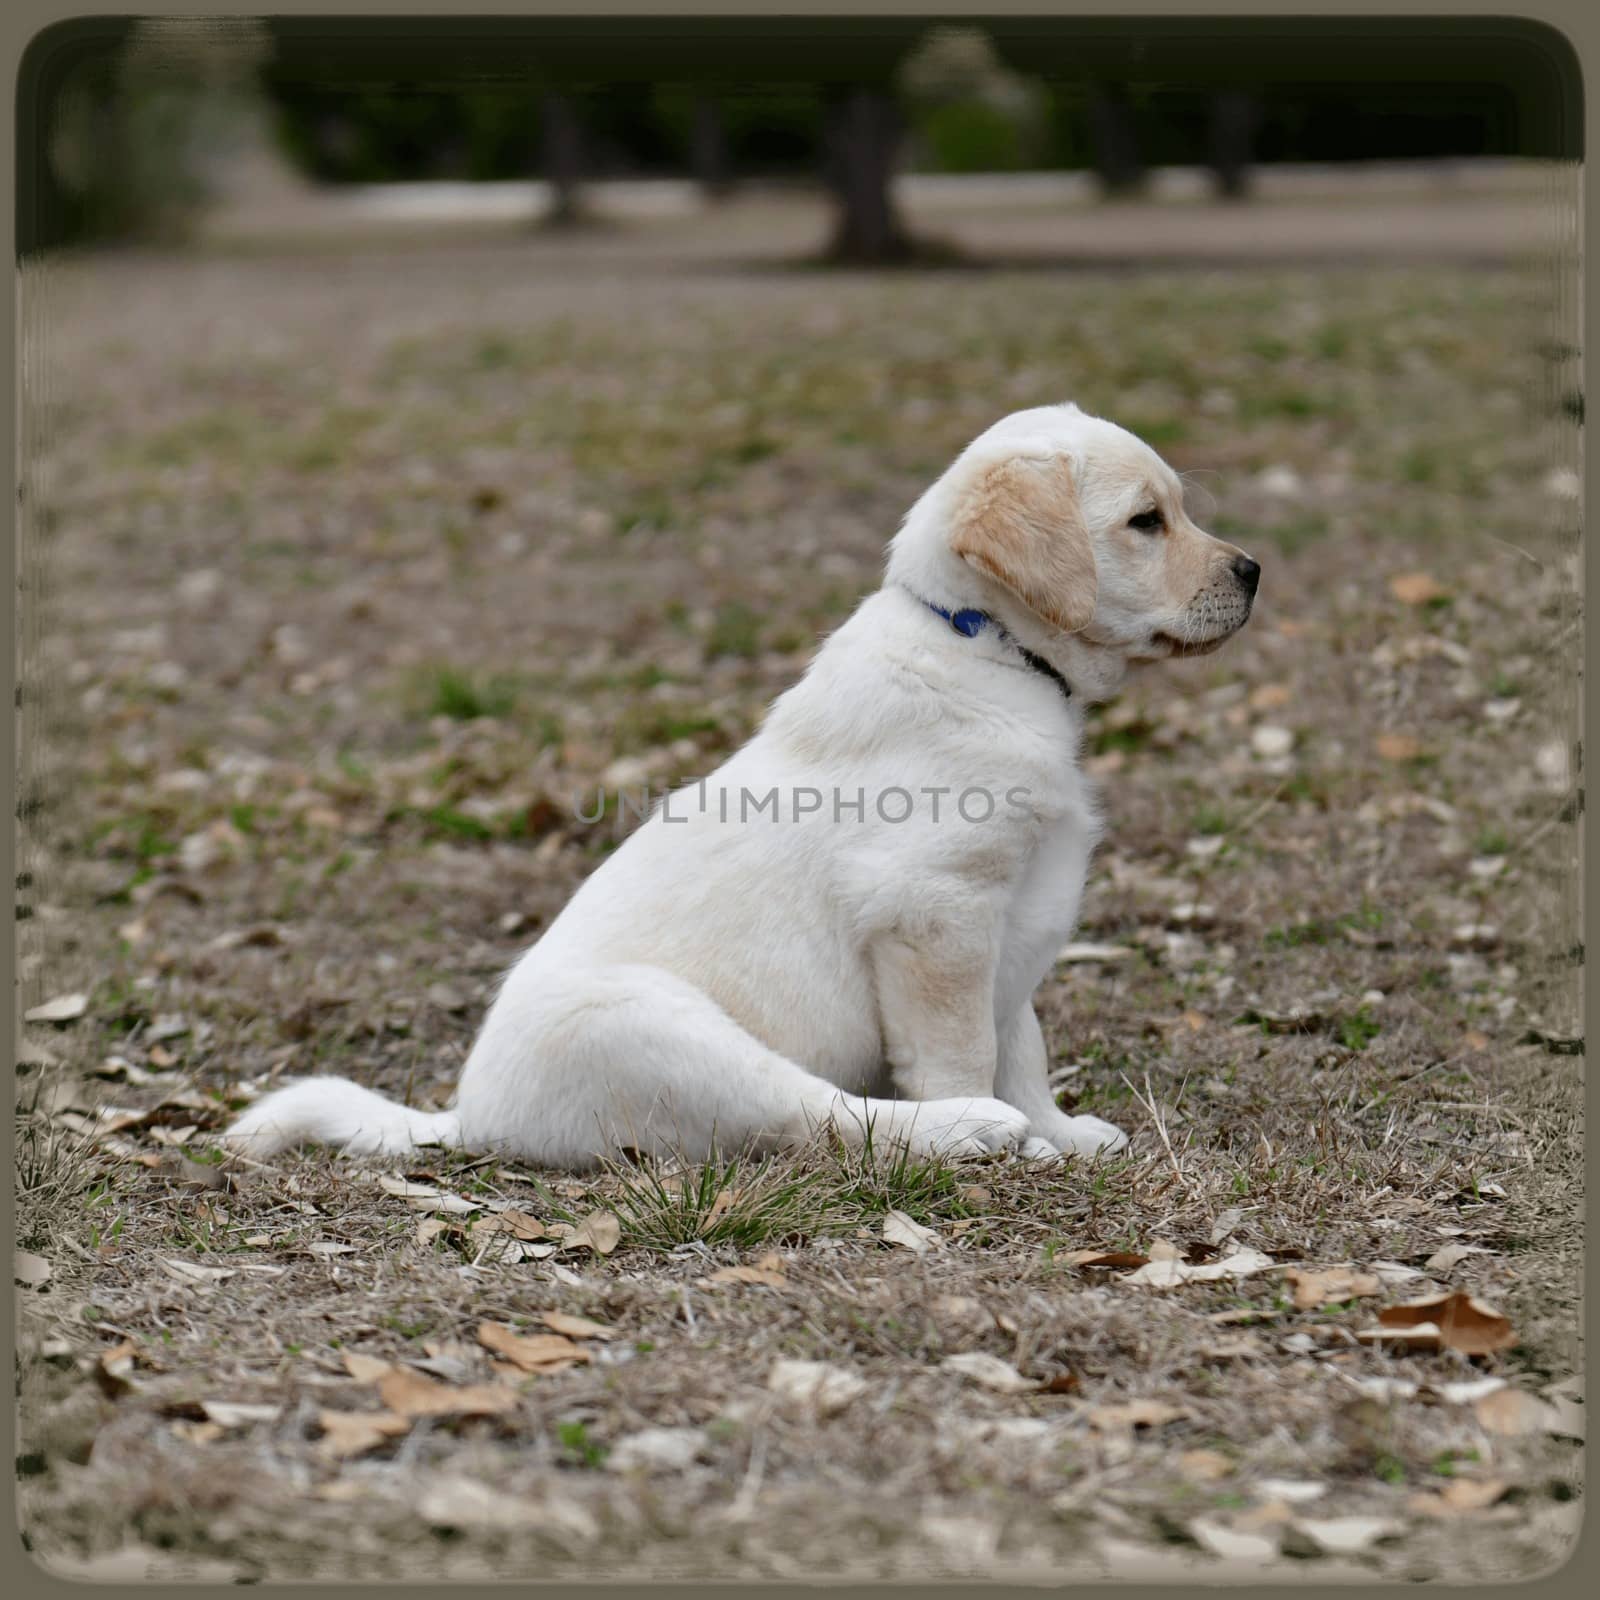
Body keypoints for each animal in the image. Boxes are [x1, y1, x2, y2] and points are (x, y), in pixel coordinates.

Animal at [225, 406, 1254, 1171]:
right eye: (1147, 522)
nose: (1253, 569)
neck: (988, 647)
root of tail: (470, 1117)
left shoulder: (1016, 915)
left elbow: (1023, 1039)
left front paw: (1059, 1130)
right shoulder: (936, 908)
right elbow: (966, 1049)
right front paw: (1020, 1136)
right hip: (671, 1033)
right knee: (830, 1117)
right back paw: (966, 1132)